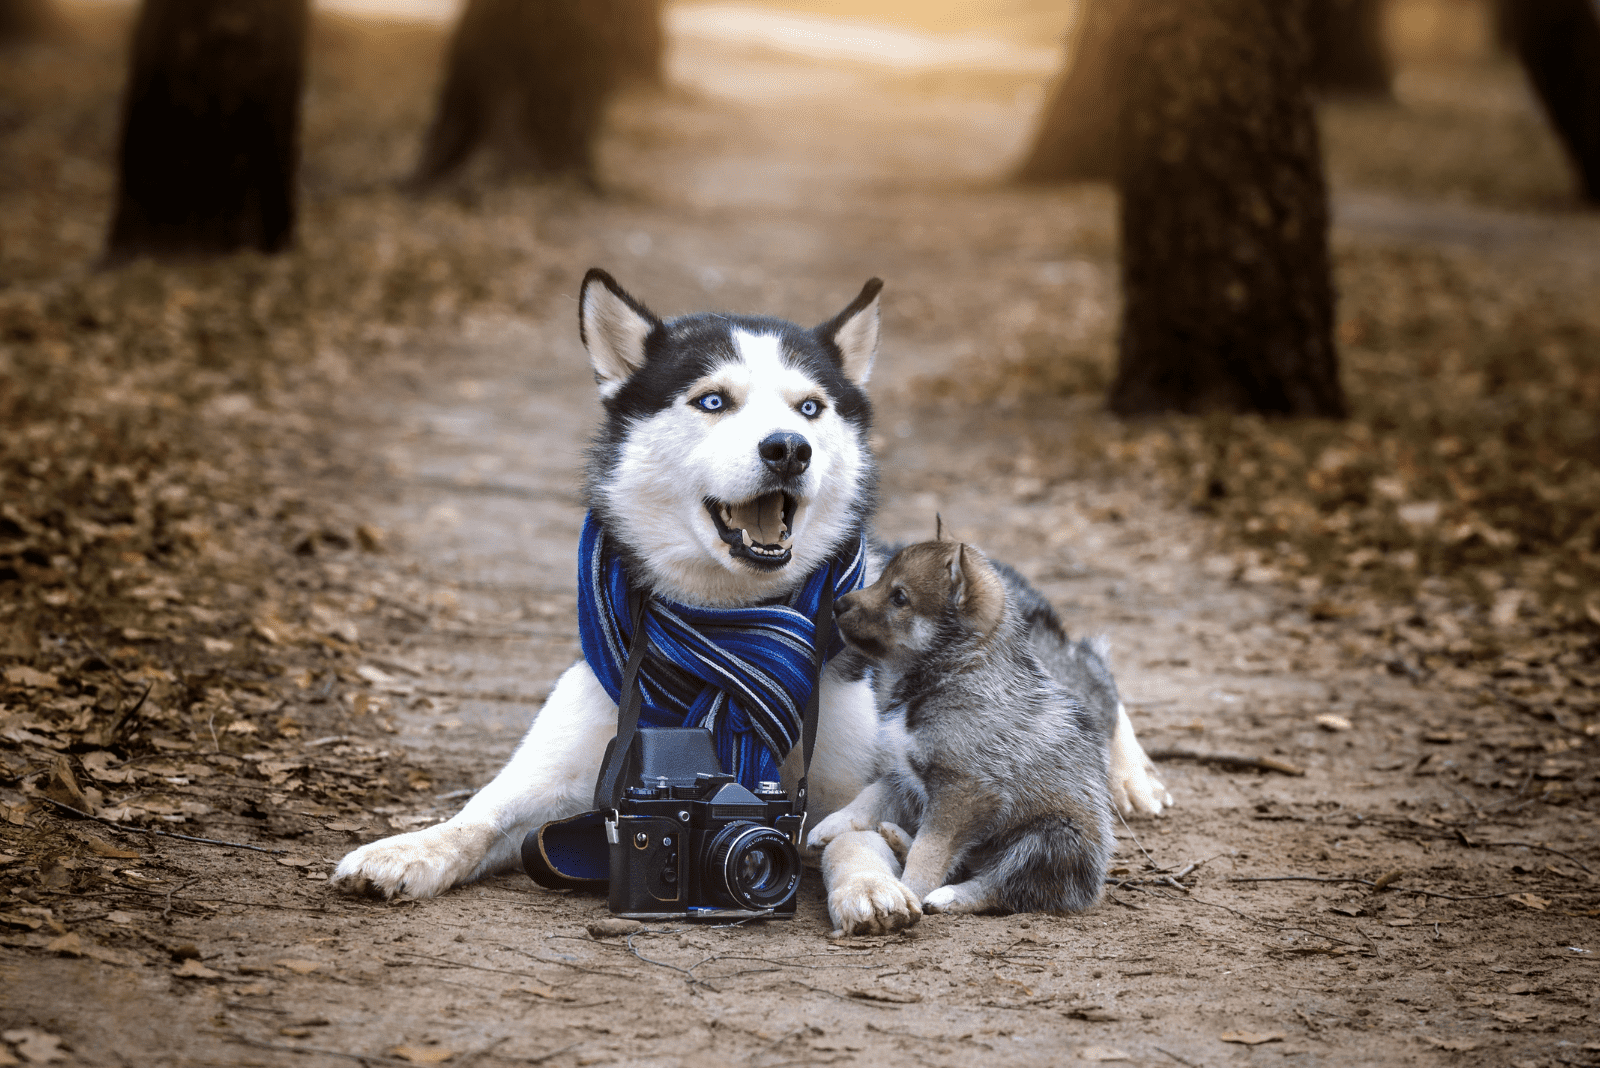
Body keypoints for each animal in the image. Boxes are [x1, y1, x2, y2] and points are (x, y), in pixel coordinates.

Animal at [812, 537, 1113, 920]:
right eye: (881, 582)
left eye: (899, 597)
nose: (836, 604)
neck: (953, 673)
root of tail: (1091, 887)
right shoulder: (904, 770)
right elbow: (870, 798)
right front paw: (831, 824)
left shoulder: (963, 791)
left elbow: (930, 851)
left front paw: (910, 890)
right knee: (965, 864)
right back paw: (898, 839)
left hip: (1047, 839)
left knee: (999, 886)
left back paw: (948, 896)